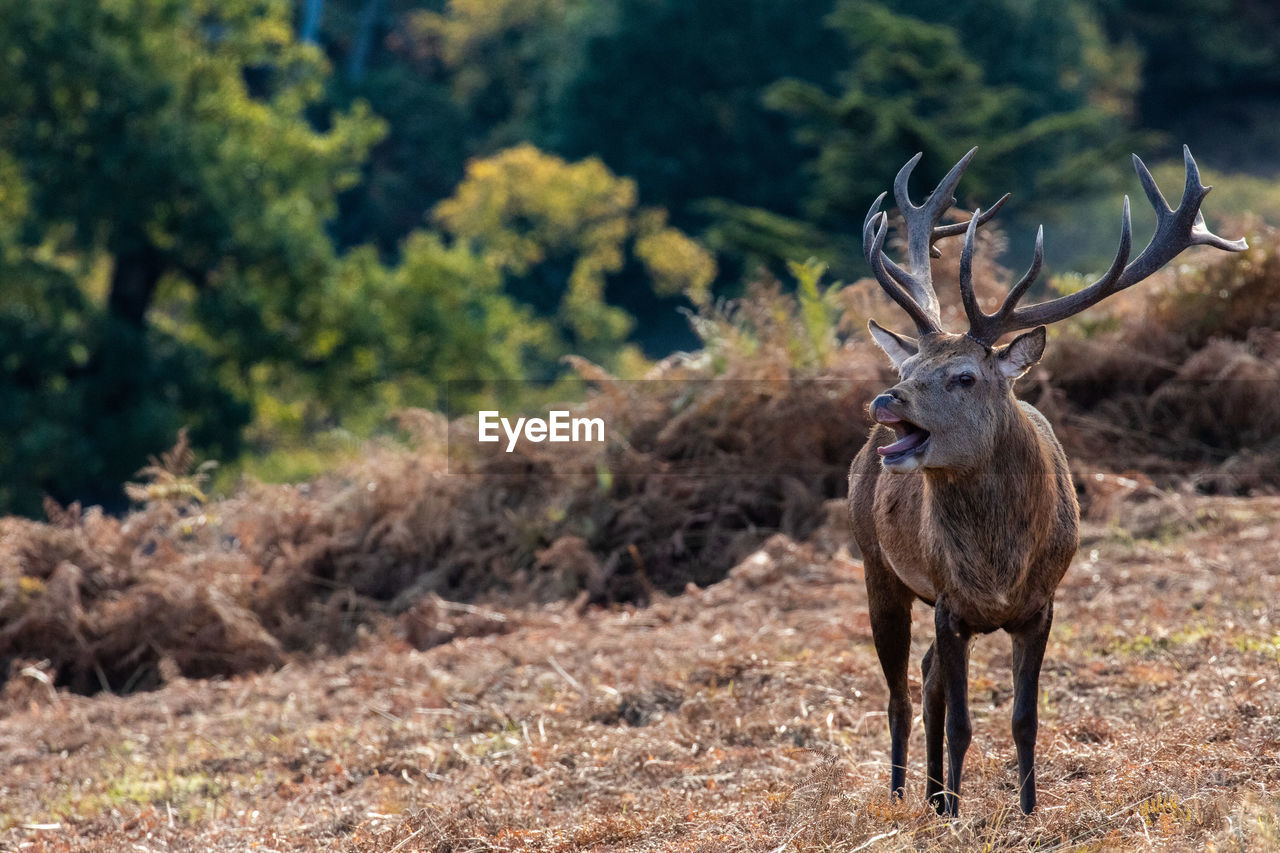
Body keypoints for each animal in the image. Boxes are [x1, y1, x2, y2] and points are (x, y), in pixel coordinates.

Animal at [844, 144, 1244, 809]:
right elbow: (962, 722)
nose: (885, 401)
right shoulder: (949, 604)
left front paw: (1028, 810)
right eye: (911, 367)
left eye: (963, 376)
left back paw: (931, 796)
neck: (998, 571)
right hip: (877, 565)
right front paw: (960, 815)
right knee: (900, 694)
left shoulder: (1041, 605)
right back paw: (905, 798)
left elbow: (1024, 718)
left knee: (924, 681)